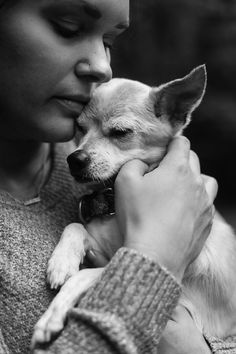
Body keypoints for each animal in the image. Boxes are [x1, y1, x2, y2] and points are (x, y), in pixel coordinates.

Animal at [31, 65, 236, 348]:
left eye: (120, 132)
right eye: (80, 128)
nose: (75, 158)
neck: (113, 202)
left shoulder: (176, 288)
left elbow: (88, 275)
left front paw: (53, 314)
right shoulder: (100, 247)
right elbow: (74, 225)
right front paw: (62, 261)